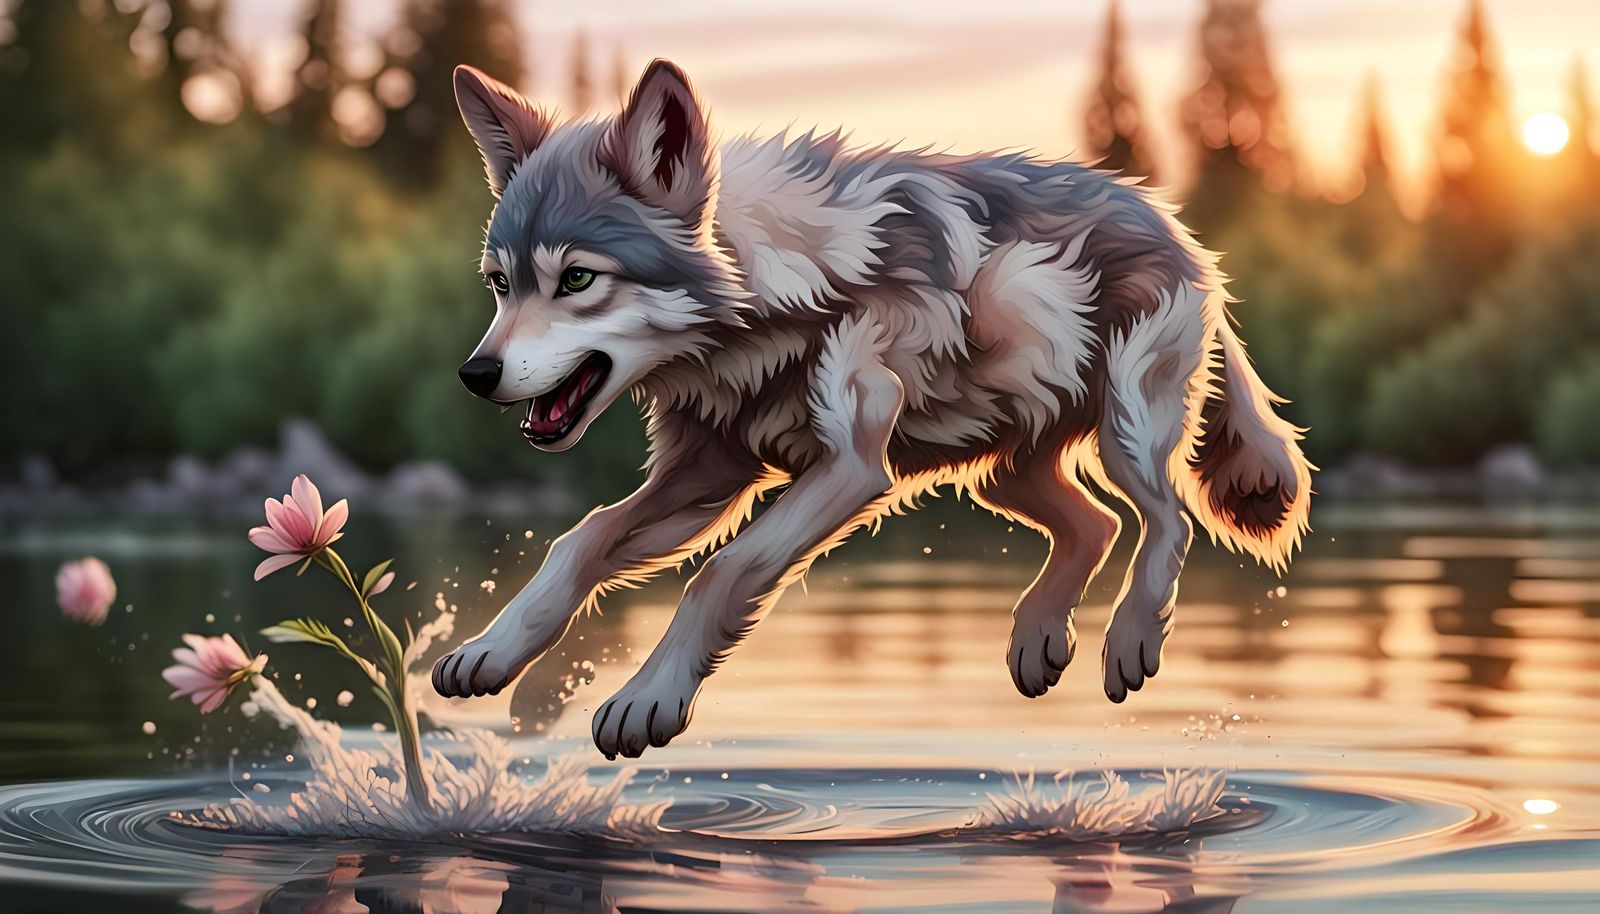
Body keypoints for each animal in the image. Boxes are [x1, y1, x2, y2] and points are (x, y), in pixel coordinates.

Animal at [433, 60, 1312, 760]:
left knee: (1168, 520)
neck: (763, 304)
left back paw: (1129, 641)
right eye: (500, 284)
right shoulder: (710, 476)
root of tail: (1174, 224)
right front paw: (495, 654)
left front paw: (649, 699)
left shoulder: (850, 470)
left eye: (578, 279)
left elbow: (721, 574)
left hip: (1124, 431)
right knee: (1094, 525)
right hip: (996, 470)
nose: (473, 374)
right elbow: (578, 541)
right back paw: (1037, 638)